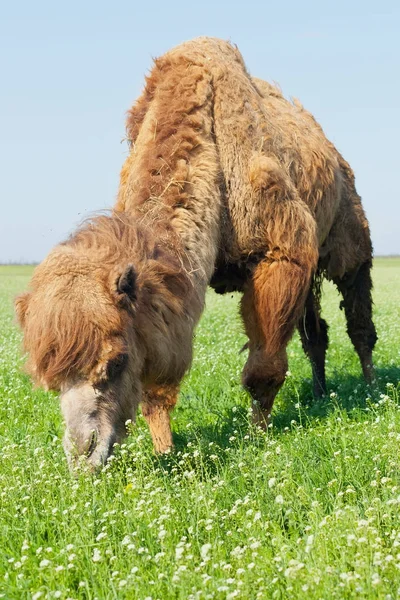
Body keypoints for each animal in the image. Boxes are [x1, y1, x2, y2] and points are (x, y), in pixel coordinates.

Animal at [15, 37, 376, 472]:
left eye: (116, 361)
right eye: (48, 379)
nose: (85, 454)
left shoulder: (281, 248)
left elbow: (263, 368)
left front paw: (258, 436)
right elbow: (156, 390)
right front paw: (165, 451)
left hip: (349, 232)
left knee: (358, 314)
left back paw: (371, 388)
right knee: (315, 332)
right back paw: (321, 394)